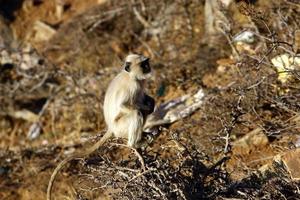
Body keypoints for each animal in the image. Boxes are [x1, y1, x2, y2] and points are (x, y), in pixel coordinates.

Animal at [47, 54, 155, 199]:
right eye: (143, 65)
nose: (148, 67)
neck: (130, 75)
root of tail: (111, 128)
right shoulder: (133, 85)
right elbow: (124, 105)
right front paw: (146, 106)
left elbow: (145, 99)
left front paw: (151, 101)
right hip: (120, 126)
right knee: (137, 113)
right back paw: (135, 143)